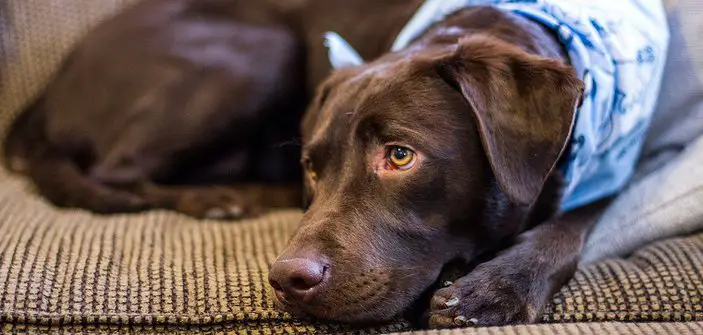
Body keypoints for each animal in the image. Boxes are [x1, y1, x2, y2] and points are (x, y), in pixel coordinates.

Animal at [2, 0, 668, 330]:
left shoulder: (621, 167)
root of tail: (48, 89)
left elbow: (568, 226)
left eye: (399, 155)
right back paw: (224, 198)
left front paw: (494, 288)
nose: (286, 278)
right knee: (116, 174)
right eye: (313, 168)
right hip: (263, 45)